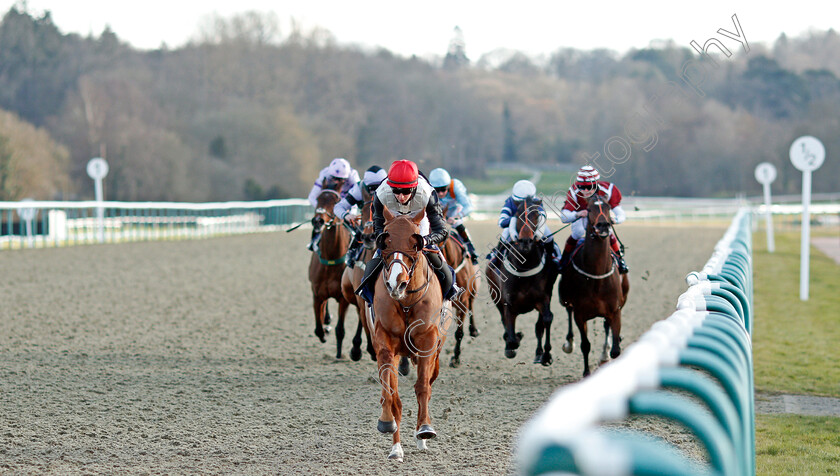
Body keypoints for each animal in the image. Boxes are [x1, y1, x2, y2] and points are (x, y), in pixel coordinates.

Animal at [306, 190, 352, 356]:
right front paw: (324, 330)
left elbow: (340, 330)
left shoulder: (344, 298)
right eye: (318, 199)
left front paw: (339, 354)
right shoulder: (317, 293)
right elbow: (318, 328)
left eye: (335, 201)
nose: (318, 221)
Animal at [372, 207, 450, 462]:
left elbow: (423, 387)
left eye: (415, 242)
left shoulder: (427, 341)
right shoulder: (385, 342)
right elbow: (391, 394)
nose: (396, 283)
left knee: (428, 384)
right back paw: (396, 448)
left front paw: (424, 429)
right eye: (385, 242)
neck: (406, 301)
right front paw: (387, 424)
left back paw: (420, 437)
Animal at [486, 195, 556, 366]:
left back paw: (538, 354)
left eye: (536, 215)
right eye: (517, 215)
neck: (524, 267)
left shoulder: (543, 298)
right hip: (494, 294)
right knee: (504, 321)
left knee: (539, 325)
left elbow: (547, 319)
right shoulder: (508, 304)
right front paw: (513, 342)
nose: (525, 241)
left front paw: (546, 355)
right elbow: (511, 335)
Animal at [560, 196, 628, 376]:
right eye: (589, 209)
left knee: (606, 327)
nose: (603, 225)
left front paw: (608, 354)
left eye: (608, 207)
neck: (597, 277)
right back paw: (569, 343)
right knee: (568, 311)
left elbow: (616, 351)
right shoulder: (580, 315)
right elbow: (585, 345)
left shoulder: (615, 311)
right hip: (565, 298)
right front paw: (586, 373)